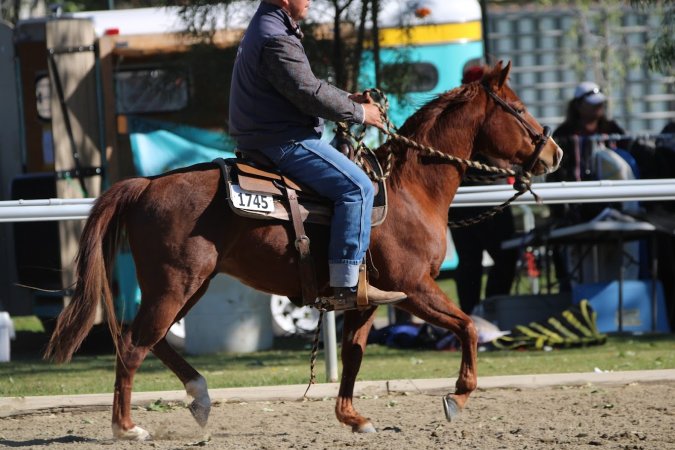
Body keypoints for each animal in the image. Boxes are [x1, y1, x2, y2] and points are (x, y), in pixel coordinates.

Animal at [44, 61, 562, 440]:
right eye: (518, 108)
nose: (554, 153)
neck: (409, 192)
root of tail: (146, 184)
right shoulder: (414, 288)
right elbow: (468, 327)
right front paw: (457, 397)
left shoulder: (367, 299)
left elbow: (353, 353)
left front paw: (353, 417)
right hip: (174, 285)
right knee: (134, 345)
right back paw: (127, 427)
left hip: (188, 286)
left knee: (154, 340)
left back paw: (200, 397)